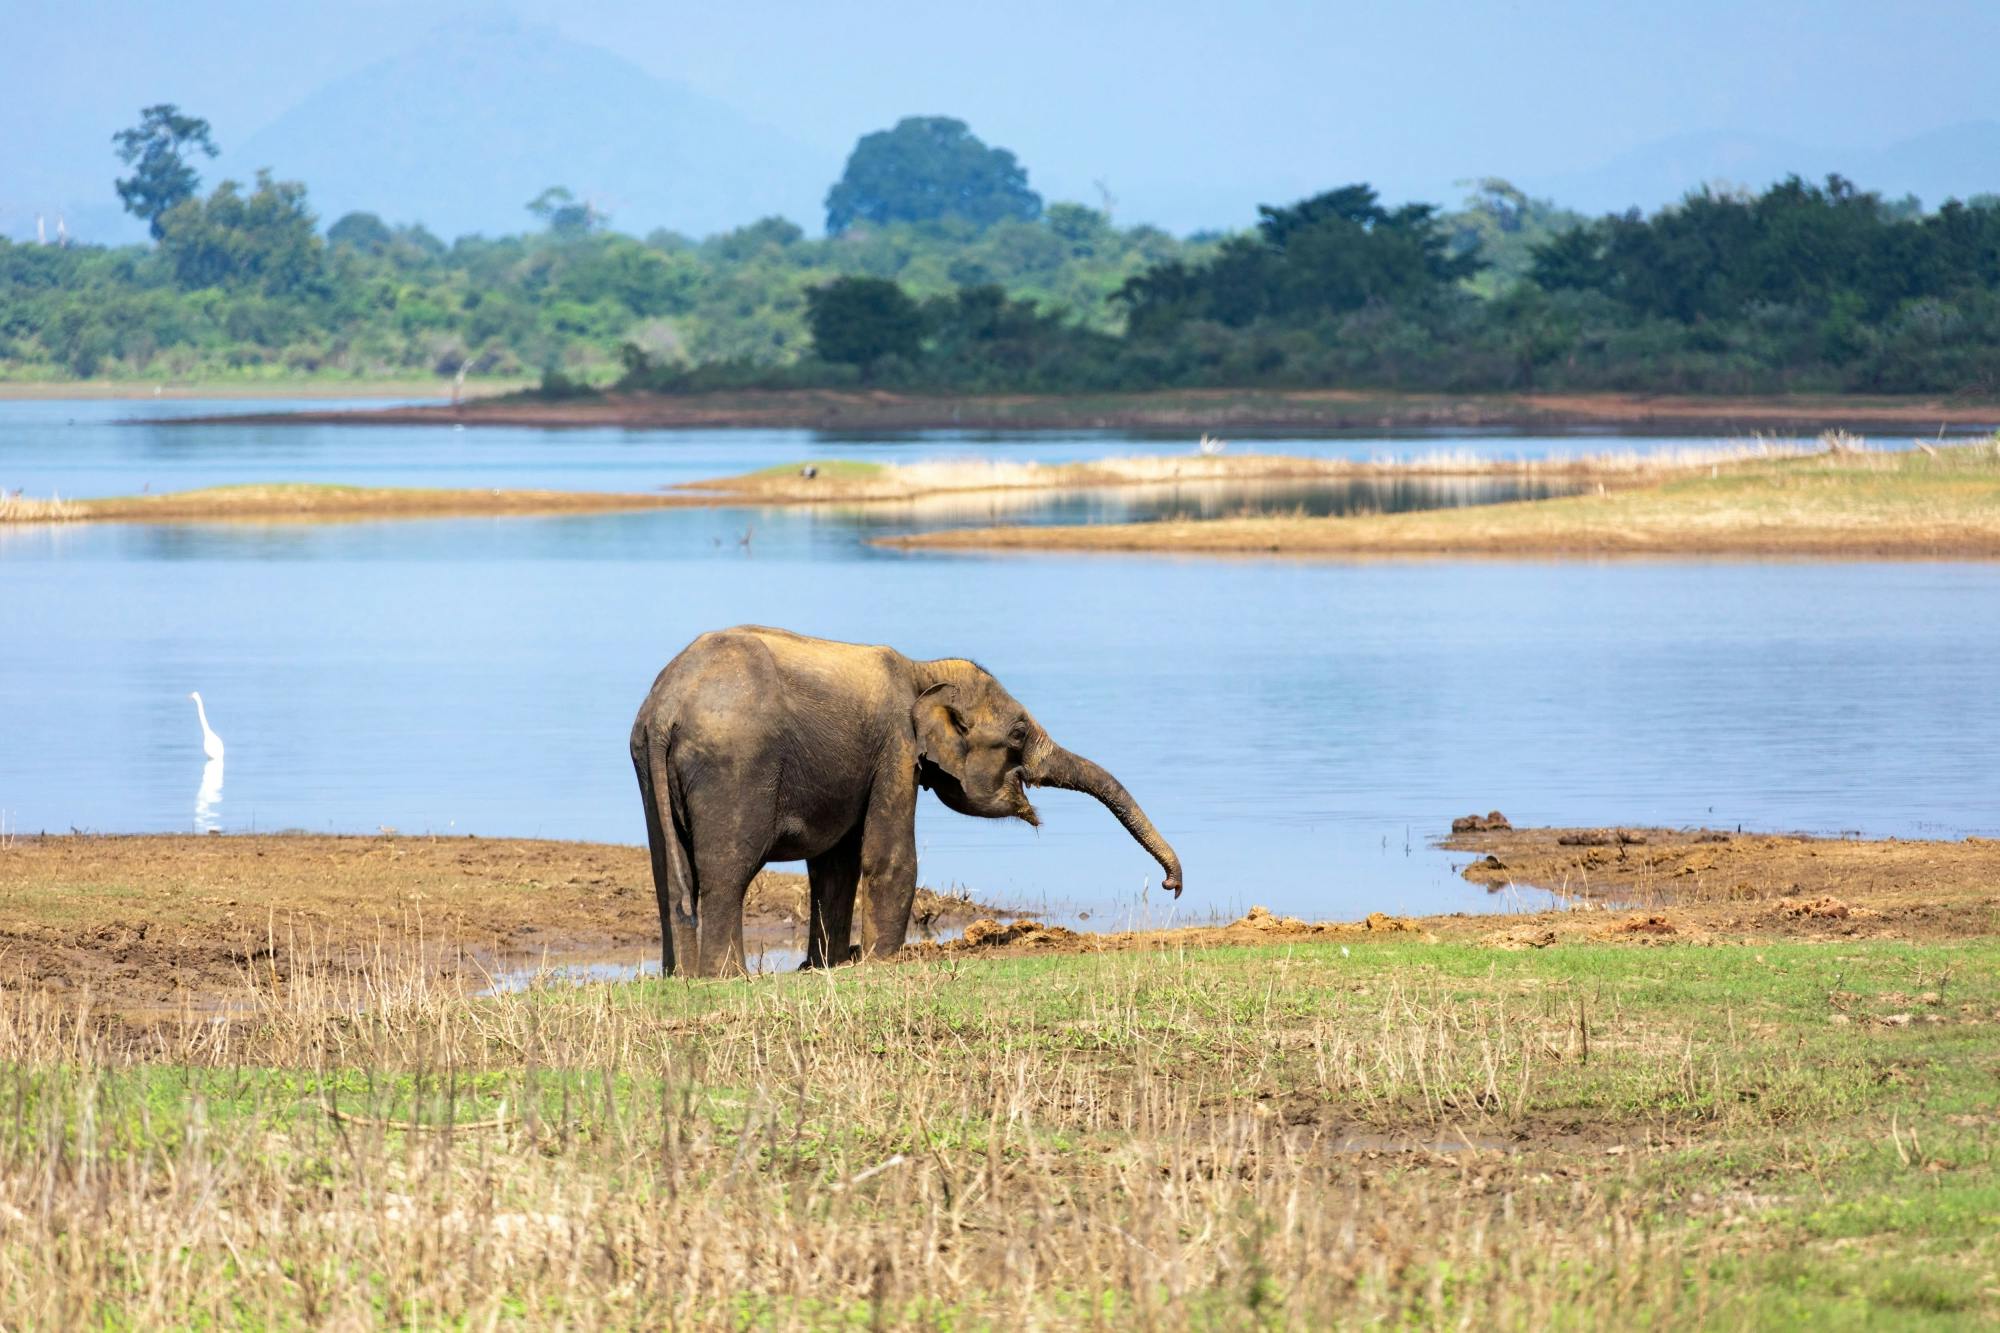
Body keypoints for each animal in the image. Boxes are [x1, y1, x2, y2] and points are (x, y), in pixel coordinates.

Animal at [632, 624, 1176, 976]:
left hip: (646, 765)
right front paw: (878, 962)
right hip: (735, 767)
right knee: (728, 873)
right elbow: (886, 856)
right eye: (1019, 733)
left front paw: (828, 966)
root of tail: (665, 709)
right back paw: (727, 978)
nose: (1172, 885)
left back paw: (680, 977)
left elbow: (837, 864)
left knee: (668, 876)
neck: (923, 670)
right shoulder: (895, 746)